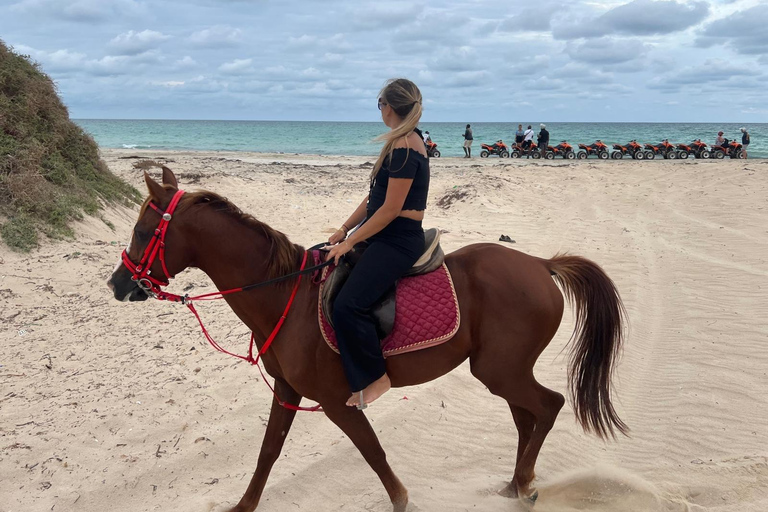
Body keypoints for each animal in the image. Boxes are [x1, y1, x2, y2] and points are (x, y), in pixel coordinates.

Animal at [108, 168, 628, 512]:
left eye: (142, 230)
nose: (117, 283)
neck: (285, 296)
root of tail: (541, 264)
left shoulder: (336, 402)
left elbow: (373, 453)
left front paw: (402, 501)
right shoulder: (288, 391)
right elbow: (268, 452)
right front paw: (243, 507)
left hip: (501, 370)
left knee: (548, 407)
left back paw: (522, 486)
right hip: (503, 371)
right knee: (527, 418)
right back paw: (518, 484)